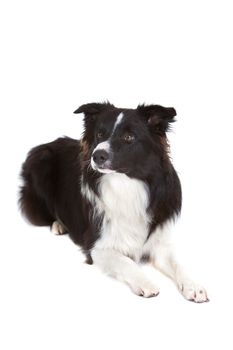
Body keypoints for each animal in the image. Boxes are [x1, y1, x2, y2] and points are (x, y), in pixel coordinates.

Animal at [19, 101, 208, 300]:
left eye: (129, 137)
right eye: (100, 134)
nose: (97, 155)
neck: (126, 184)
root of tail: (48, 143)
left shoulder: (158, 243)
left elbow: (177, 263)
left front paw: (194, 286)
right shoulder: (97, 247)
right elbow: (126, 262)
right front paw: (146, 282)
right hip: (40, 164)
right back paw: (58, 225)